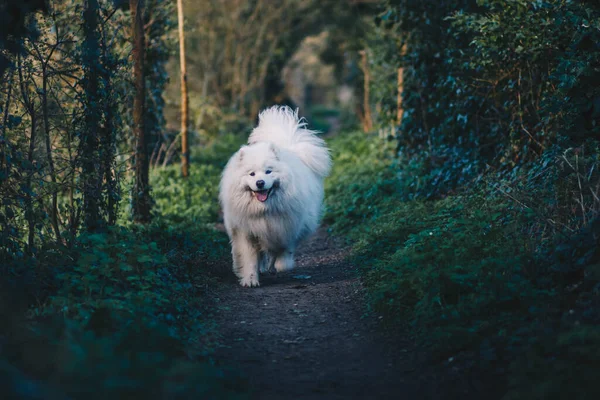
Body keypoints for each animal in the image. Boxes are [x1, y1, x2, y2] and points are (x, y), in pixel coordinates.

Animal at [220, 106, 330, 288]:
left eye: (268, 171)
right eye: (251, 174)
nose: (260, 183)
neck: (264, 211)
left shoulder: (287, 226)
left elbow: (285, 249)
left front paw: (282, 264)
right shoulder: (247, 231)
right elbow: (250, 258)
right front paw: (250, 279)